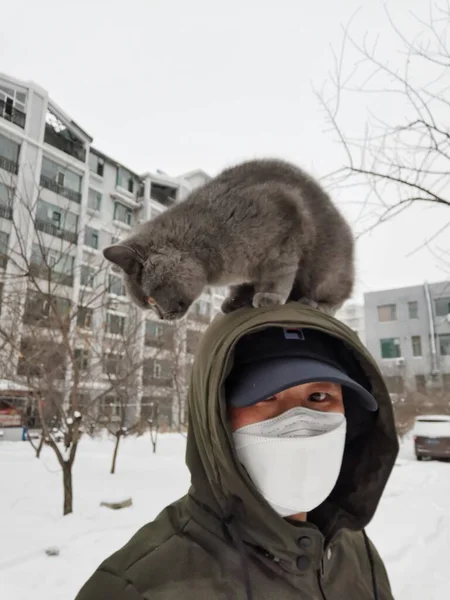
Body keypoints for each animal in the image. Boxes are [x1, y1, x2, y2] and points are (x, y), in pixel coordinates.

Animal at [103, 158, 356, 318]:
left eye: (150, 301)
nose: (161, 318)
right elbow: (241, 284)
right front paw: (235, 300)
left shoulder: (286, 230)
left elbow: (279, 272)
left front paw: (270, 296)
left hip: (329, 268)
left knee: (338, 294)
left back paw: (315, 304)